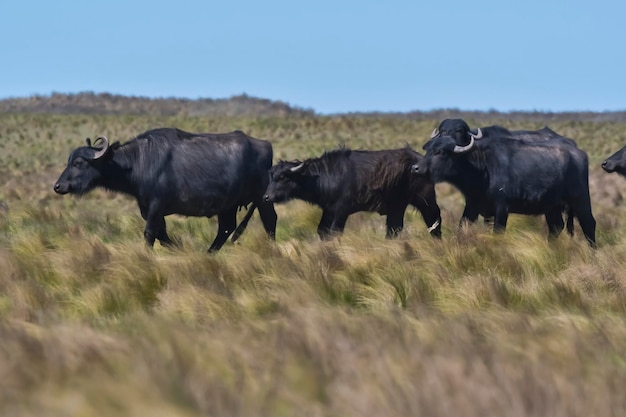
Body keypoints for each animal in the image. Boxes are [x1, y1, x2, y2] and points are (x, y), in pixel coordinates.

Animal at [52, 127, 276, 250]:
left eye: (79, 163)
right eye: (69, 161)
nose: (58, 186)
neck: (138, 162)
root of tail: (266, 146)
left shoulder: (155, 207)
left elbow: (150, 233)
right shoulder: (149, 209)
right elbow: (162, 234)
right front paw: (179, 249)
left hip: (262, 198)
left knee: (269, 221)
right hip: (227, 206)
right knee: (226, 228)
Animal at [260, 147, 442, 239]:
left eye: (283, 177)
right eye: (271, 177)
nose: (266, 197)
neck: (326, 176)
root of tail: (420, 161)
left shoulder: (342, 210)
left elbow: (335, 231)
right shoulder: (328, 210)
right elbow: (322, 231)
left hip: (425, 199)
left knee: (434, 219)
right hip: (397, 207)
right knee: (394, 228)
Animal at [410, 118, 596, 245]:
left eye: (440, 152)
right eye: (427, 149)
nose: (416, 168)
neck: (481, 168)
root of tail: (578, 152)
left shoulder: (501, 207)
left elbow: (497, 233)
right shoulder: (473, 205)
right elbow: (462, 228)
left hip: (581, 200)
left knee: (589, 224)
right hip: (552, 207)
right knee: (556, 227)